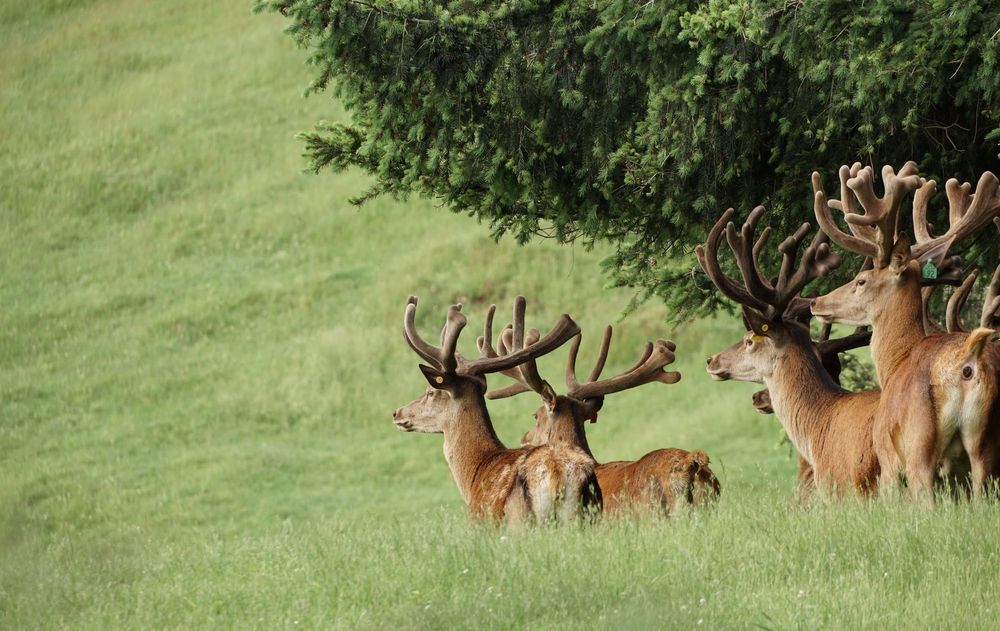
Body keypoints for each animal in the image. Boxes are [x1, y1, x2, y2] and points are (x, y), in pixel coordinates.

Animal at [810, 162, 1000, 498]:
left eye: (861, 281)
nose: (816, 301)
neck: (895, 362)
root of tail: (968, 360)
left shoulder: (887, 454)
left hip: (918, 444)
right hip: (984, 447)